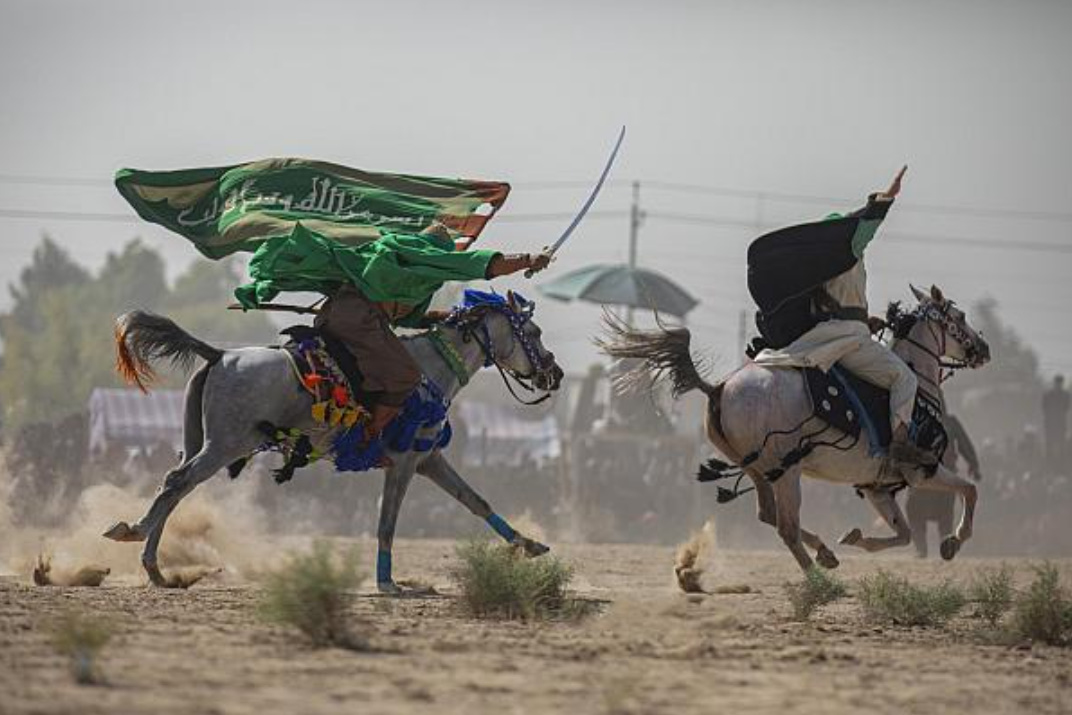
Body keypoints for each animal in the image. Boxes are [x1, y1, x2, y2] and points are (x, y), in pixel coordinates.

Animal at [104, 291, 566, 591]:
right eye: (535, 331)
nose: (555, 373)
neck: (430, 370)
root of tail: (220, 355)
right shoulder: (404, 463)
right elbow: (386, 523)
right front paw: (387, 583)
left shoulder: (429, 459)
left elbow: (476, 501)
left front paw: (529, 545)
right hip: (224, 444)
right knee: (175, 482)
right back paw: (135, 535)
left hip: (201, 440)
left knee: (176, 488)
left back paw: (155, 569)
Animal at [596, 282, 986, 570]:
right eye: (960, 316)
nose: (984, 348)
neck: (917, 386)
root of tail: (719, 387)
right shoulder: (922, 471)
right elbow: (969, 490)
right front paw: (953, 541)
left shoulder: (877, 488)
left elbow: (903, 534)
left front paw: (856, 538)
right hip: (787, 470)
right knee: (786, 526)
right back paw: (818, 580)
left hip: (758, 469)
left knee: (770, 516)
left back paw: (825, 553)